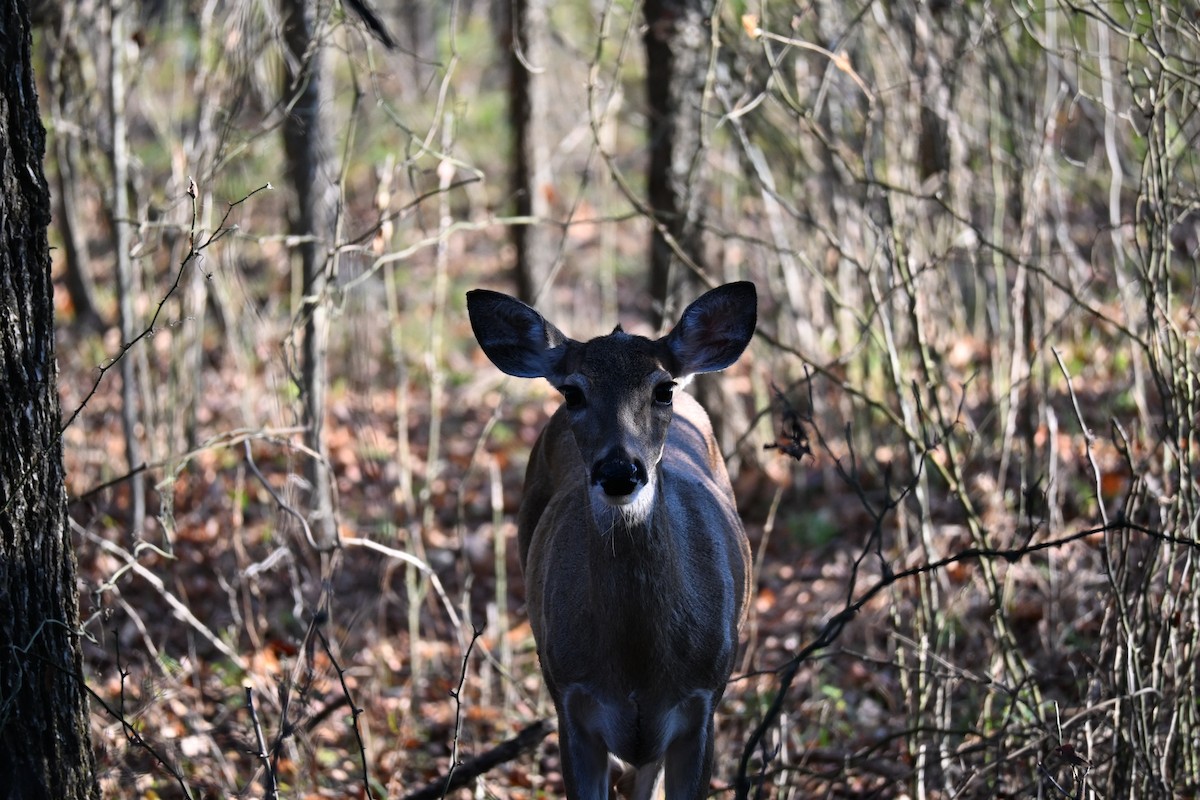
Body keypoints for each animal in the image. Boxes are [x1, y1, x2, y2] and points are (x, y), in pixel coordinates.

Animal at [466, 281, 757, 800]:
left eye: (663, 389)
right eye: (572, 391)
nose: (619, 471)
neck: (637, 668)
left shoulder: (704, 703)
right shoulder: (570, 703)